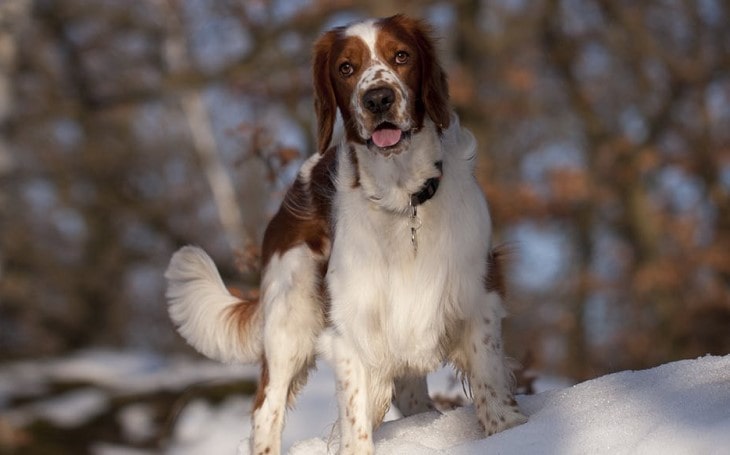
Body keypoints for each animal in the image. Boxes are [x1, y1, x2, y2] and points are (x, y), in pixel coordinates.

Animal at [166, 14, 524, 455]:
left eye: (401, 56)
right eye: (346, 68)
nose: (378, 99)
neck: (402, 201)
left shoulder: (478, 294)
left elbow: (489, 378)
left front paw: (510, 431)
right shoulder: (352, 327)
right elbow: (354, 414)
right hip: (288, 324)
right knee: (266, 409)